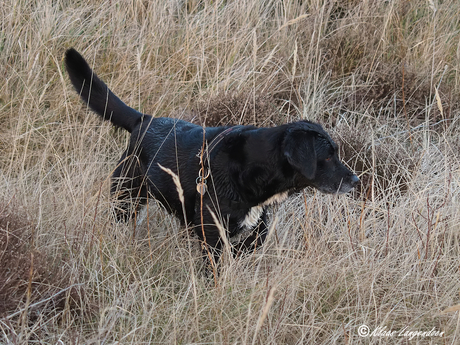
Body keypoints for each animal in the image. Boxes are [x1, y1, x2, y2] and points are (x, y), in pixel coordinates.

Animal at [64, 47, 360, 260]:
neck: (256, 168)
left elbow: (255, 239)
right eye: (328, 156)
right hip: (127, 196)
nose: (356, 181)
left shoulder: (253, 222)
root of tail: (144, 120)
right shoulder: (211, 228)